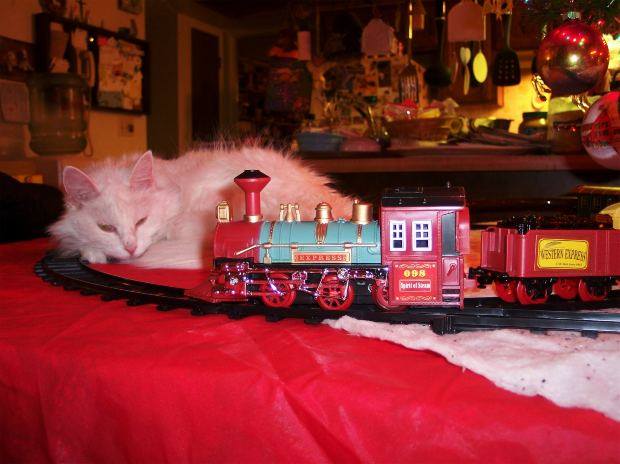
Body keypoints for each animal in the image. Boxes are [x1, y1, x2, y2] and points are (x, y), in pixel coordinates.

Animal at [49, 145, 353, 269]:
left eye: (141, 221)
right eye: (106, 227)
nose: (130, 248)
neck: (173, 186)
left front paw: (95, 254)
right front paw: (93, 251)